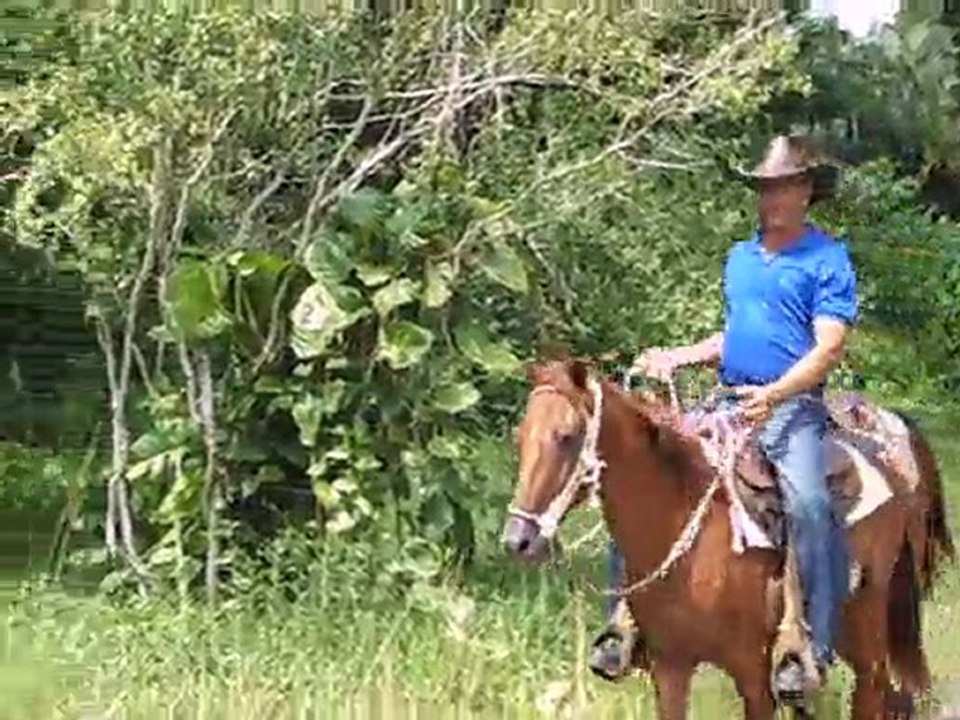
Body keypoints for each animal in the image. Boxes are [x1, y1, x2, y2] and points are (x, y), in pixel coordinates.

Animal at [502, 358, 953, 720]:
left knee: (875, 692)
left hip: (868, 625)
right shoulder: (670, 667)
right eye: (519, 436)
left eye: (565, 435)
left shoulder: (752, 672)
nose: (518, 541)